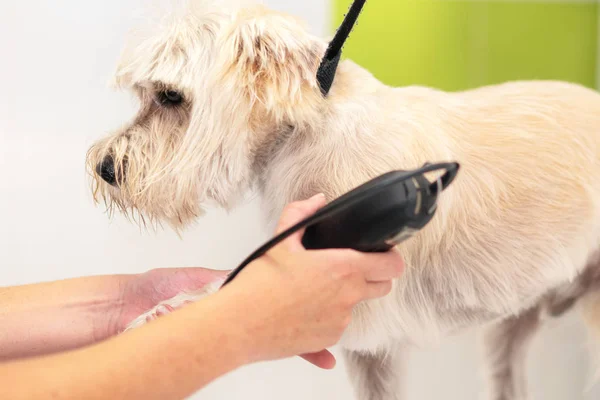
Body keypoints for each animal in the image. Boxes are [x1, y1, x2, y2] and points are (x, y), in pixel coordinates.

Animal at [85, 1, 600, 398]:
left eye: (171, 96)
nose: (105, 168)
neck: (303, 135)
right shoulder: (369, 347)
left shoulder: (366, 314)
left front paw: (156, 318)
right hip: (510, 329)